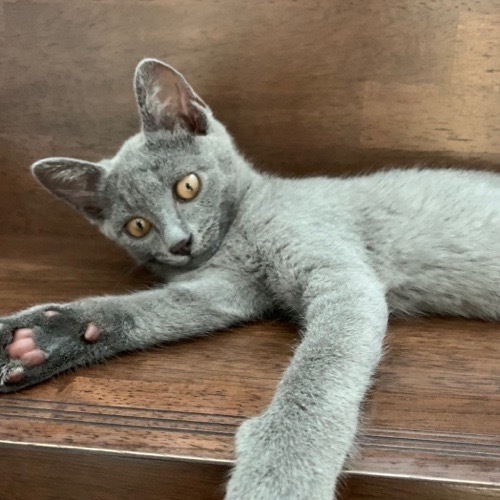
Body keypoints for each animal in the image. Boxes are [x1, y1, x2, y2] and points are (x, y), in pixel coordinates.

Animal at [1, 58, 499, 500]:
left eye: (188, 186)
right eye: (137, 226)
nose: (180, 243)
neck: (239, 234)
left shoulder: (340, 275)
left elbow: (321, 365)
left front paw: (282, 473)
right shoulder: (228, 288)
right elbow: (148, 307)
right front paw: (39, 339)